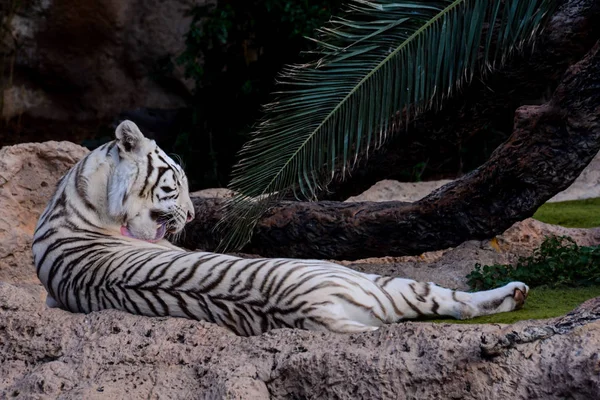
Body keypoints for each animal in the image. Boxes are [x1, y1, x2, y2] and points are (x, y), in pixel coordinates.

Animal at [34, 121, 528, 334]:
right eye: (177, 185)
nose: (193, 217)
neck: (77, 198)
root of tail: (310, 309)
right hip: (369, 278)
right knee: (453, 301)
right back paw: (515, 292)